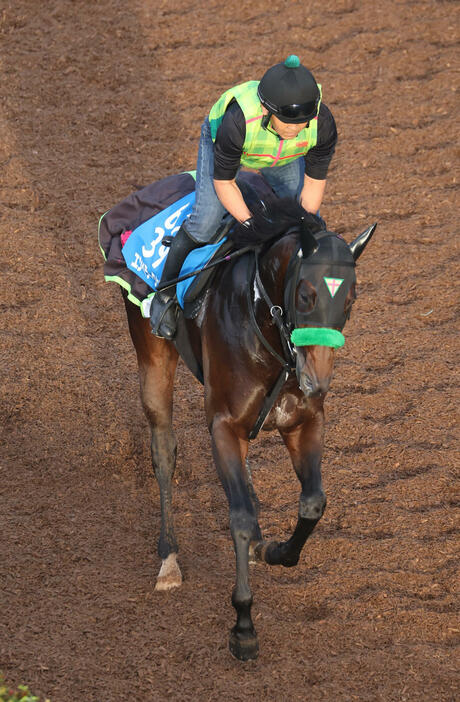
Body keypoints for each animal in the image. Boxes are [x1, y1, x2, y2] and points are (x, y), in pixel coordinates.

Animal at [120, 197, 376, 660]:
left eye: (350, 299)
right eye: (306, 295)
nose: (317, 382)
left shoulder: (304, 421)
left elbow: (312, 503)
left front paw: (275, 549)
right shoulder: (223, 426)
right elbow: (238, 516)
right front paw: (243, 626)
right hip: (151, 353)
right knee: (163, 451)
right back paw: (169, 558)